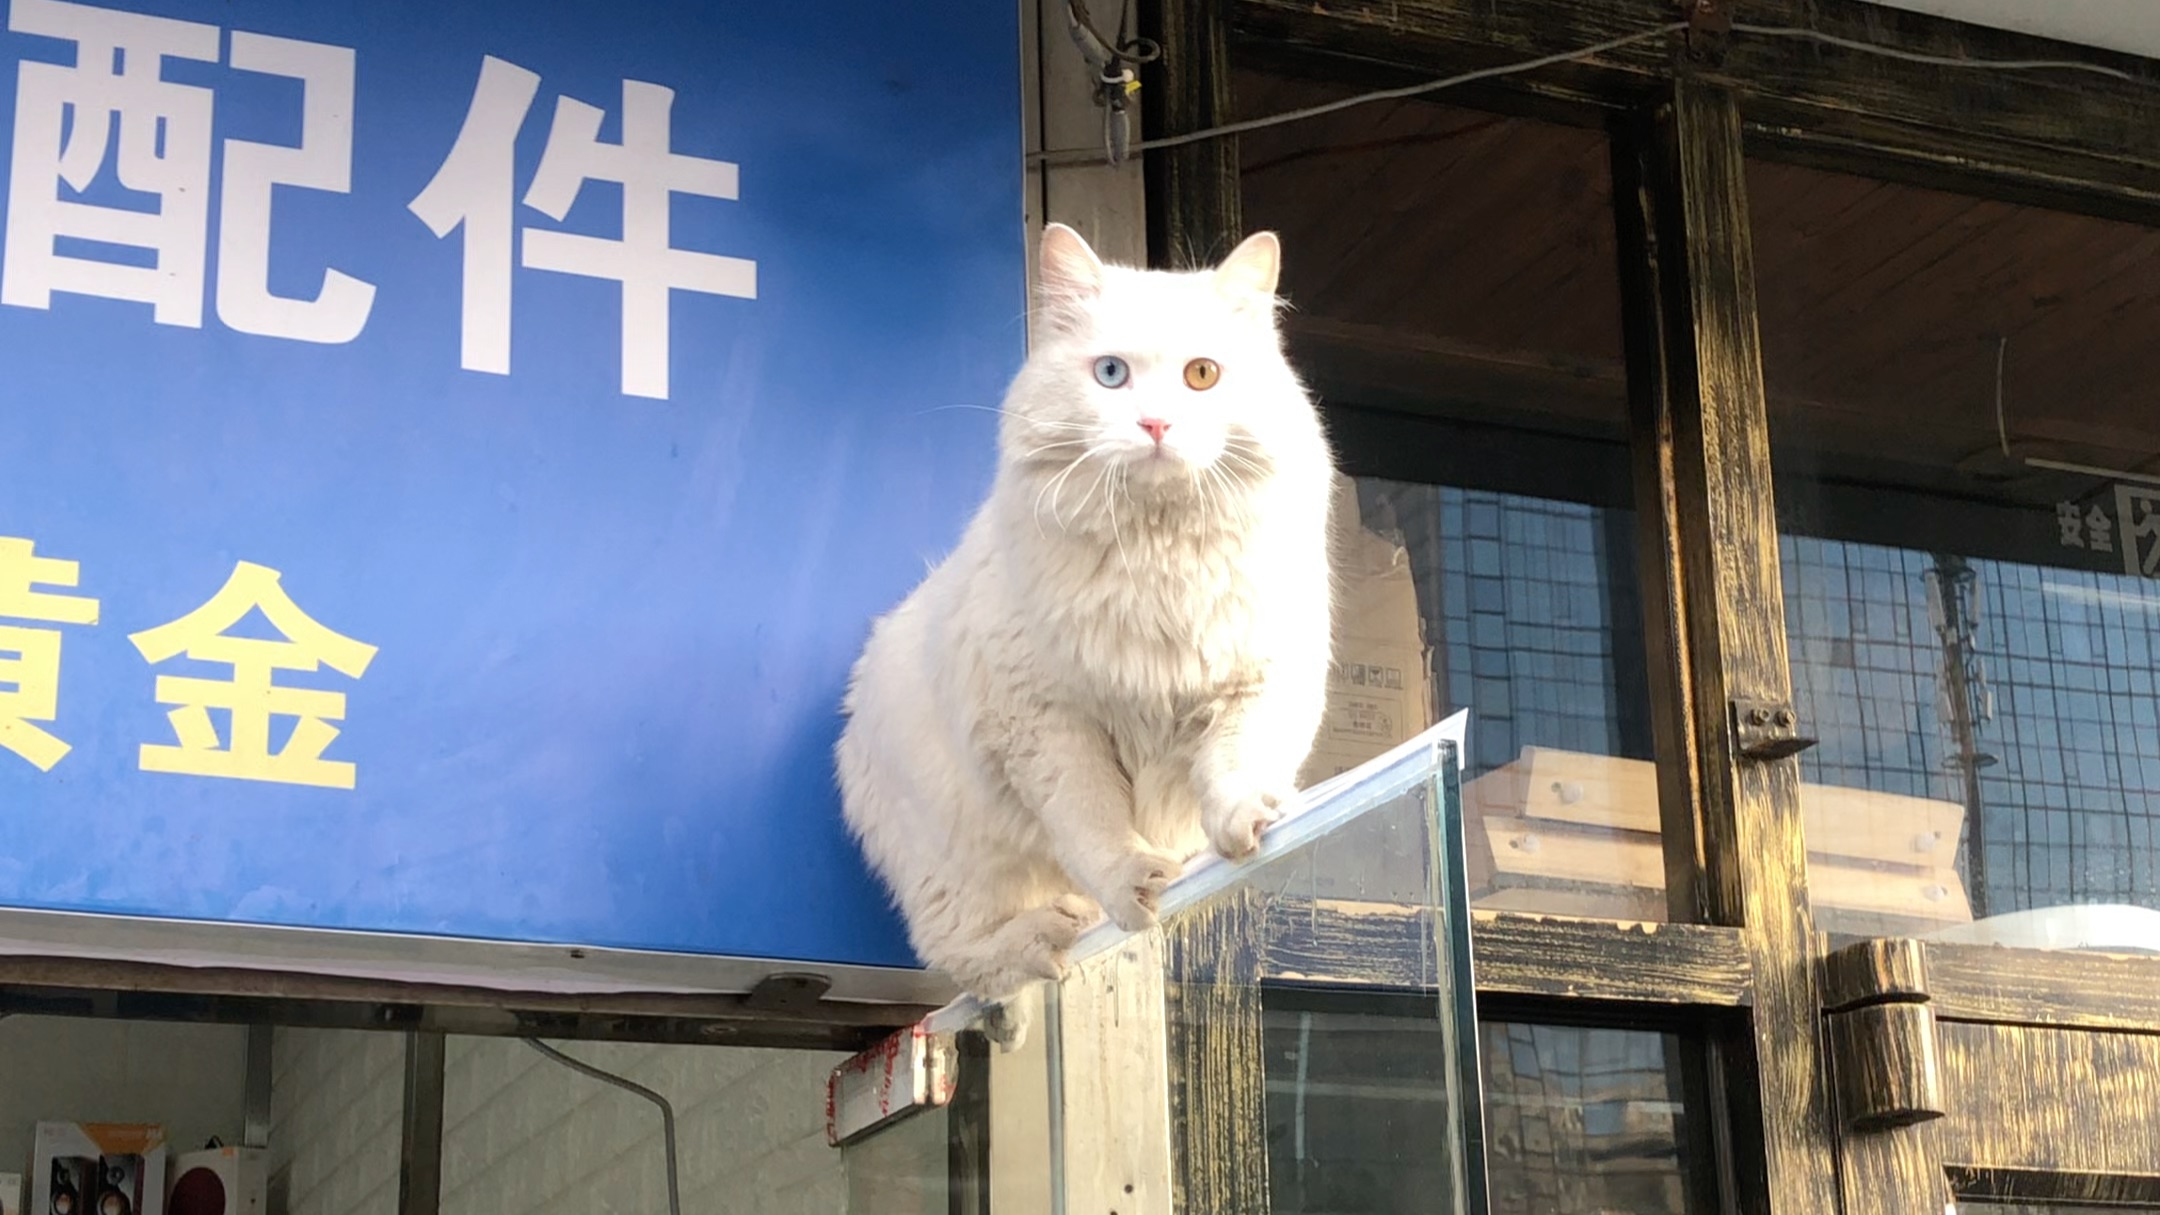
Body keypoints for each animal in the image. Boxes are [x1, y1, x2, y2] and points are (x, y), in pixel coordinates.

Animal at [836, 222, 1336, 1023]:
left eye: (1202, 374)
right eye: (1110, 374)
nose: (1156, 424)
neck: (1159, 558)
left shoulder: (1258, 682)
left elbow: (1234, 768)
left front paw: (1249, 823)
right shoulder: (1046, 724)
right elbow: (1097, 826)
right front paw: (1139, 882)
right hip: (953, 864)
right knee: (966, 954)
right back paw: (1048, 936)